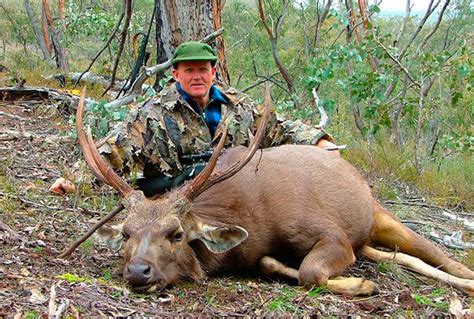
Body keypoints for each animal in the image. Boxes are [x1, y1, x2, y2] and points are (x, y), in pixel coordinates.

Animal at [65, 86, 474, 296]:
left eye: (177, 234)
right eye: (127, 233)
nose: (138, 270)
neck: (251, 218)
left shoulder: (332, 234)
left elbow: (311, 271)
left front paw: (362, 284)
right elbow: (272, 264)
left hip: (380, 216)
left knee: (438, 254)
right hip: (369, 239)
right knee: (402, 258)